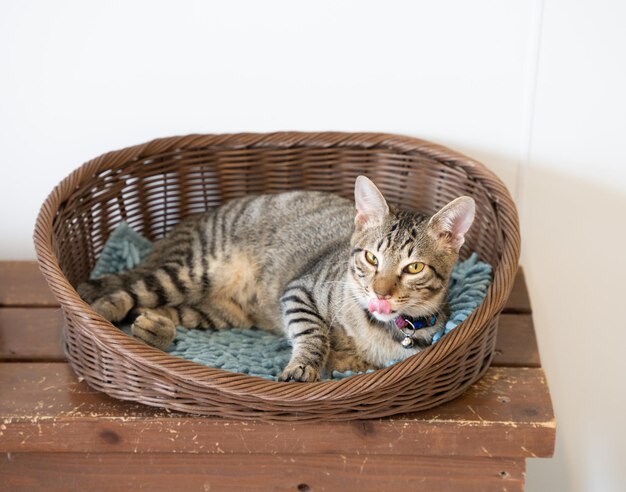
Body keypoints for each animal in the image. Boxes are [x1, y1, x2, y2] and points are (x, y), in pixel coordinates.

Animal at [79, 175, 472, 382]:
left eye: (414, 268)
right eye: (371, 258)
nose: (380, 292)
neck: (379, 330)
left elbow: (352, 360)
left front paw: (338, 360)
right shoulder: (299, 291)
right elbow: (313, 334)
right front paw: (304, 365)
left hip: (217, 314)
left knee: (163, 312)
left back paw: (153, 328)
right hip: (188, 271)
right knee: (124, 294)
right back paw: (98, 315)